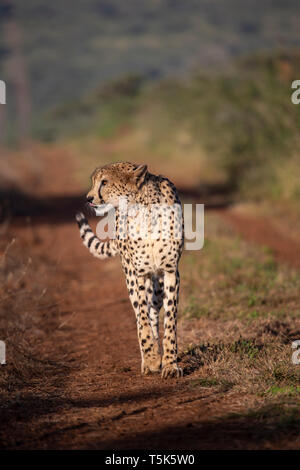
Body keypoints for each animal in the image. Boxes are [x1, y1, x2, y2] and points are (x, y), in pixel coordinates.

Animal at [76, 162, 184, 378]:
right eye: (94, 181)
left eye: (105, 182)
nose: (89, 198)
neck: (144, 210)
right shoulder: (138, 274)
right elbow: (141, 316)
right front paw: (152, 358)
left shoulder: (170, 272)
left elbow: (169, 321)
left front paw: (169, 364)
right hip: (131, 275)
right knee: (141, 314)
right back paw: (148, 359)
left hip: (157, 285)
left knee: (153, 311)